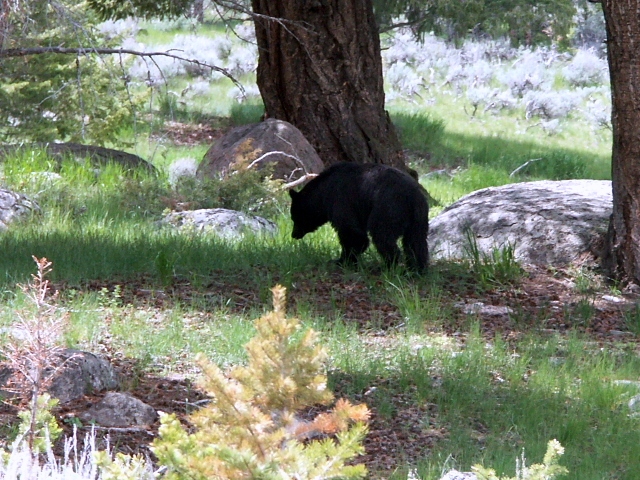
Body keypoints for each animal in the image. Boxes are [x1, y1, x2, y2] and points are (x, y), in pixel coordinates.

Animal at [289, 162, 429, 272]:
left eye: (294, 217)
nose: (294, 234)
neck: (323, 192)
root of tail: (412, 197)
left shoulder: (341, 200)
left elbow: (352, 233)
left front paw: (342, 261)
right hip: (419, 218)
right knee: (416, 242)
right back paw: (417, 269)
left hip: (388, 208)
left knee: (383, 236)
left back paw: (390, 267)